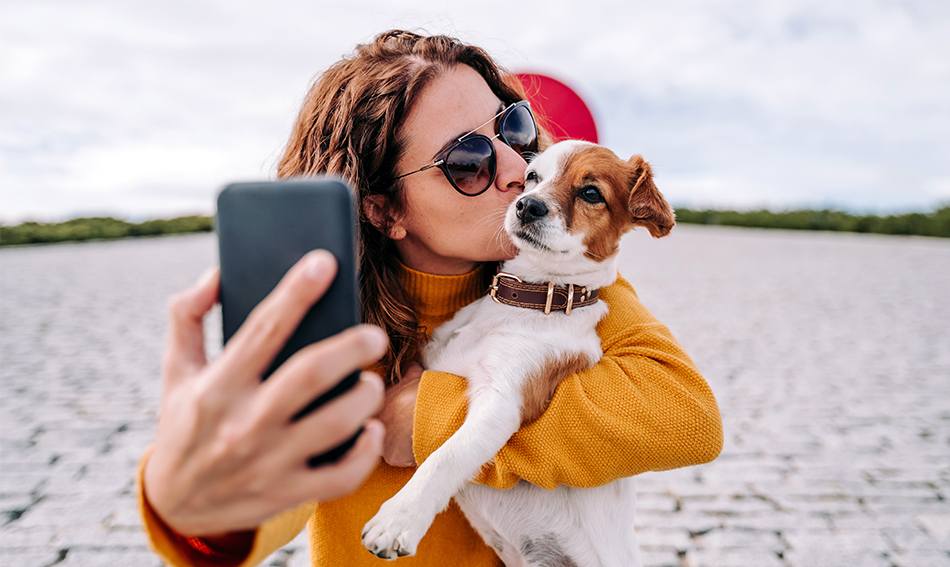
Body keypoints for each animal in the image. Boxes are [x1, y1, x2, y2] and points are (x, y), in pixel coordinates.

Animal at [360, 141, 672, 567]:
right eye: (532, 177)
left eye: (591, 193)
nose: (527, 205)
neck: (526, 298)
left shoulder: (502, 402)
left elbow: (446, 456)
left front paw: (399, 519)